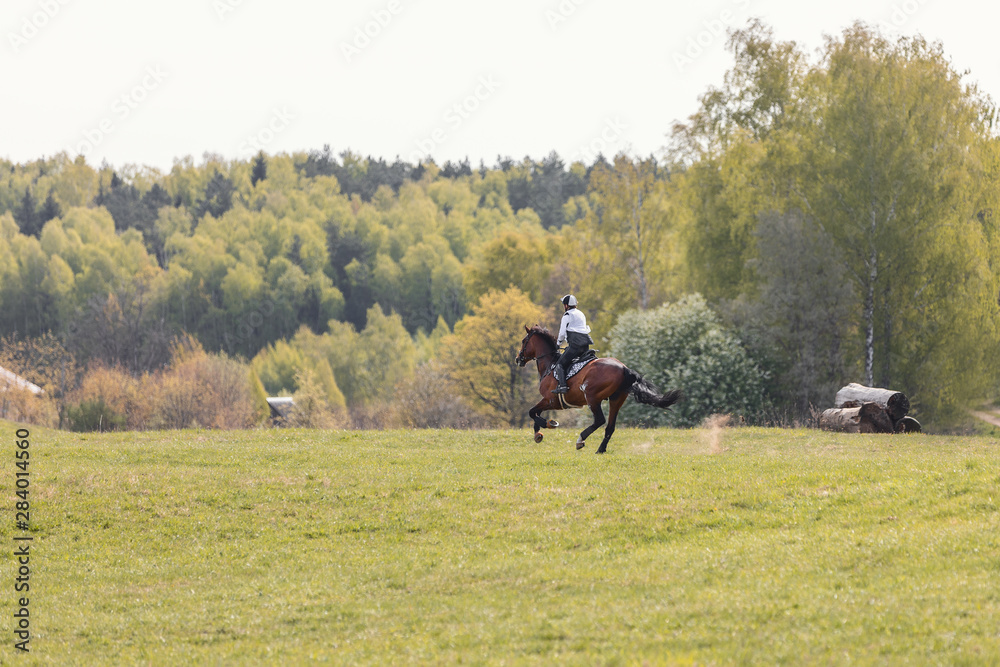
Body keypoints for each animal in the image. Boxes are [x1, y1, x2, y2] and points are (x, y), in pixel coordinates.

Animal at [516, 324, 680, 454]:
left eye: (524, 341)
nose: (518, 359)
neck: (550, 365)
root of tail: (624, 368)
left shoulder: (550, 400)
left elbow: (532, 412)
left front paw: (549, 424)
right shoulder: (549, 401)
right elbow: (535, 412)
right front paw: (538, 434)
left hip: (592, 397)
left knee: (600, 420)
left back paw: (580, 440)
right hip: (616, 400)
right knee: (610, 426)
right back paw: (600, 449)